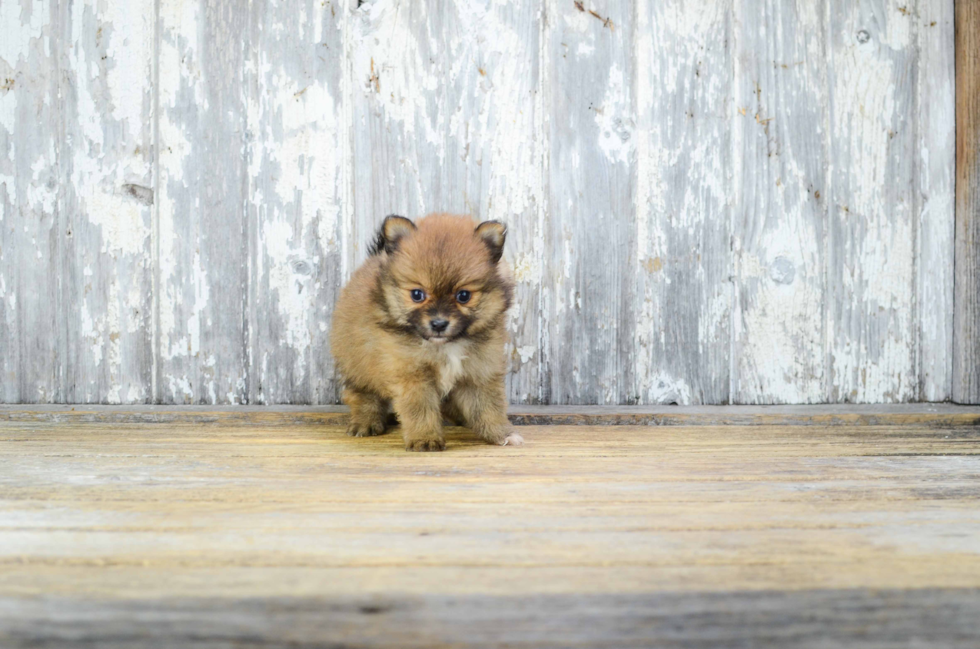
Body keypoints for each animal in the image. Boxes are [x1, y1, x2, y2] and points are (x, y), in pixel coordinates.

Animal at [332, 213, 528, 450]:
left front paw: (503, 434)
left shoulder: (479, 373)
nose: (439, 323)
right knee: (363, 395)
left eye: (463, 296)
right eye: (417, 294)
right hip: (358, 363)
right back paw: (366, 422)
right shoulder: (412, 375)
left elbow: (490, 408)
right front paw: (425, 438)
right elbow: (420, 409)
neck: (445, 346)